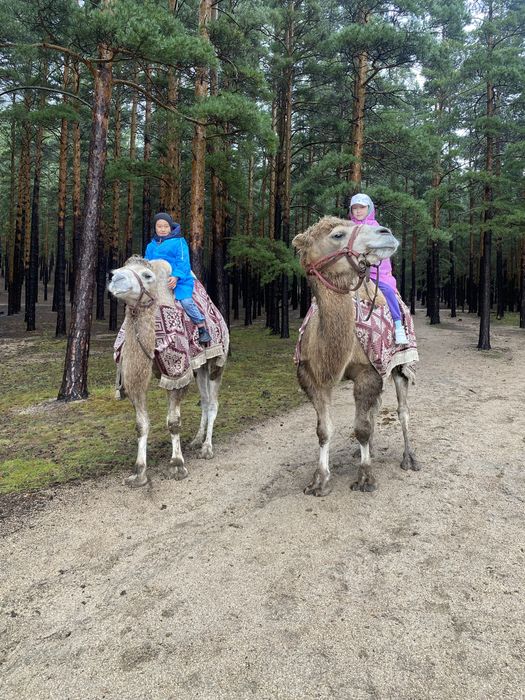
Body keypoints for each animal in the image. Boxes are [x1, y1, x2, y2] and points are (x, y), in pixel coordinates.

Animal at [108, 256, 228, 487]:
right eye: (119, 269)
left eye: (147, 275)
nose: (115, 278)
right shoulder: (134, 378)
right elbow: (141, 424)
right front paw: (139, 472)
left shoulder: (177, 373)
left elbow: (173, 422)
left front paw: (177, 465)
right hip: (199, 368)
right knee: (205, 400)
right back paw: (196, 440)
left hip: (217, 362)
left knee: (213, 403)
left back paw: (207, 448)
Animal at [293, 216, 419, 496]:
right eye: (337, 235)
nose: (386, 232)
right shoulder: (310, 376)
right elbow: (323, 430)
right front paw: (319, 480)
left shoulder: (367, 372)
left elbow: (361, 428)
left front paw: (365, 478)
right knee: (376, 408)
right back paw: (370, 450)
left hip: (400, 364)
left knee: (402, 409)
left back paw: (409, 458)